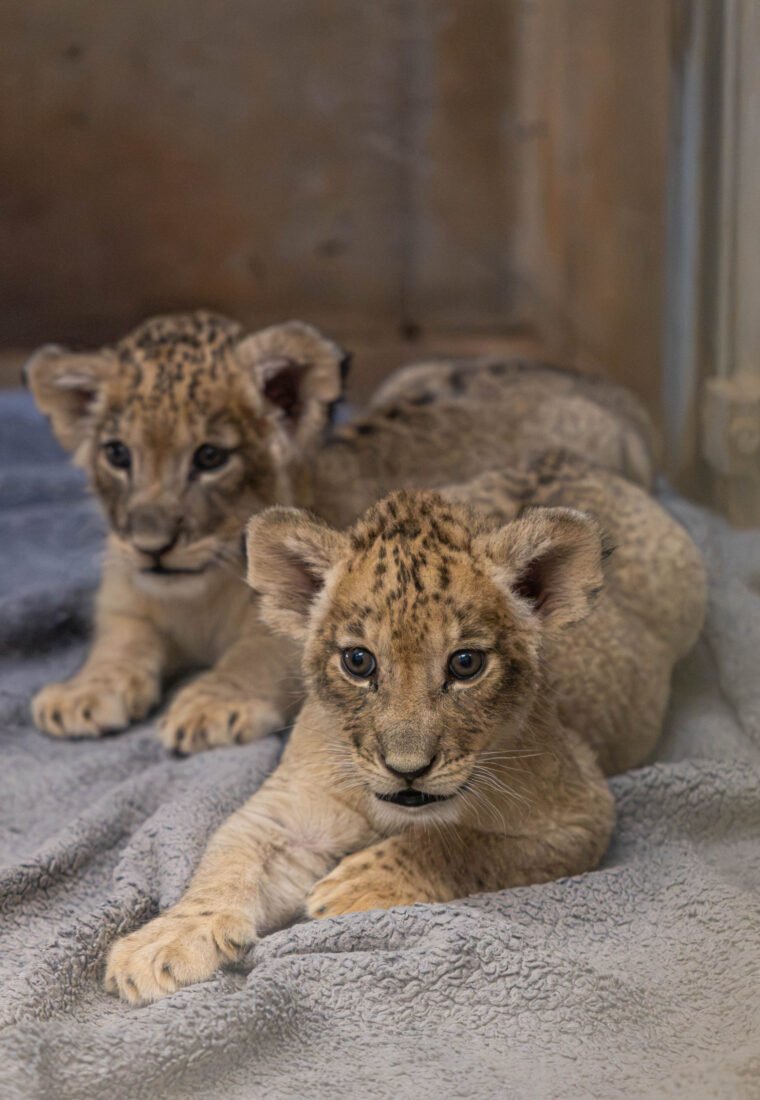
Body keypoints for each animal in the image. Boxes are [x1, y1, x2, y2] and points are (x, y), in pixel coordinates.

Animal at [26, 311, 659, 753]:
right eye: (117, 454)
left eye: (209, 457)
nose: (151, 546)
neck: (194, 593)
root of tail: (591, 381)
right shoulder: (127, 604)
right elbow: (117, 645)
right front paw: (82, 694)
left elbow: (251, 659)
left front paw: (210, 706)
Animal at [104, 451, 705, 1003]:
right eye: (359, 662)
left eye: (465, 664)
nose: (408, 769)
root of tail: (564, 457)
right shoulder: (285, 815)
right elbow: (227, 861)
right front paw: (160, 945)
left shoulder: (582, 813)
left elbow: (463, 844)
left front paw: (358, 883)